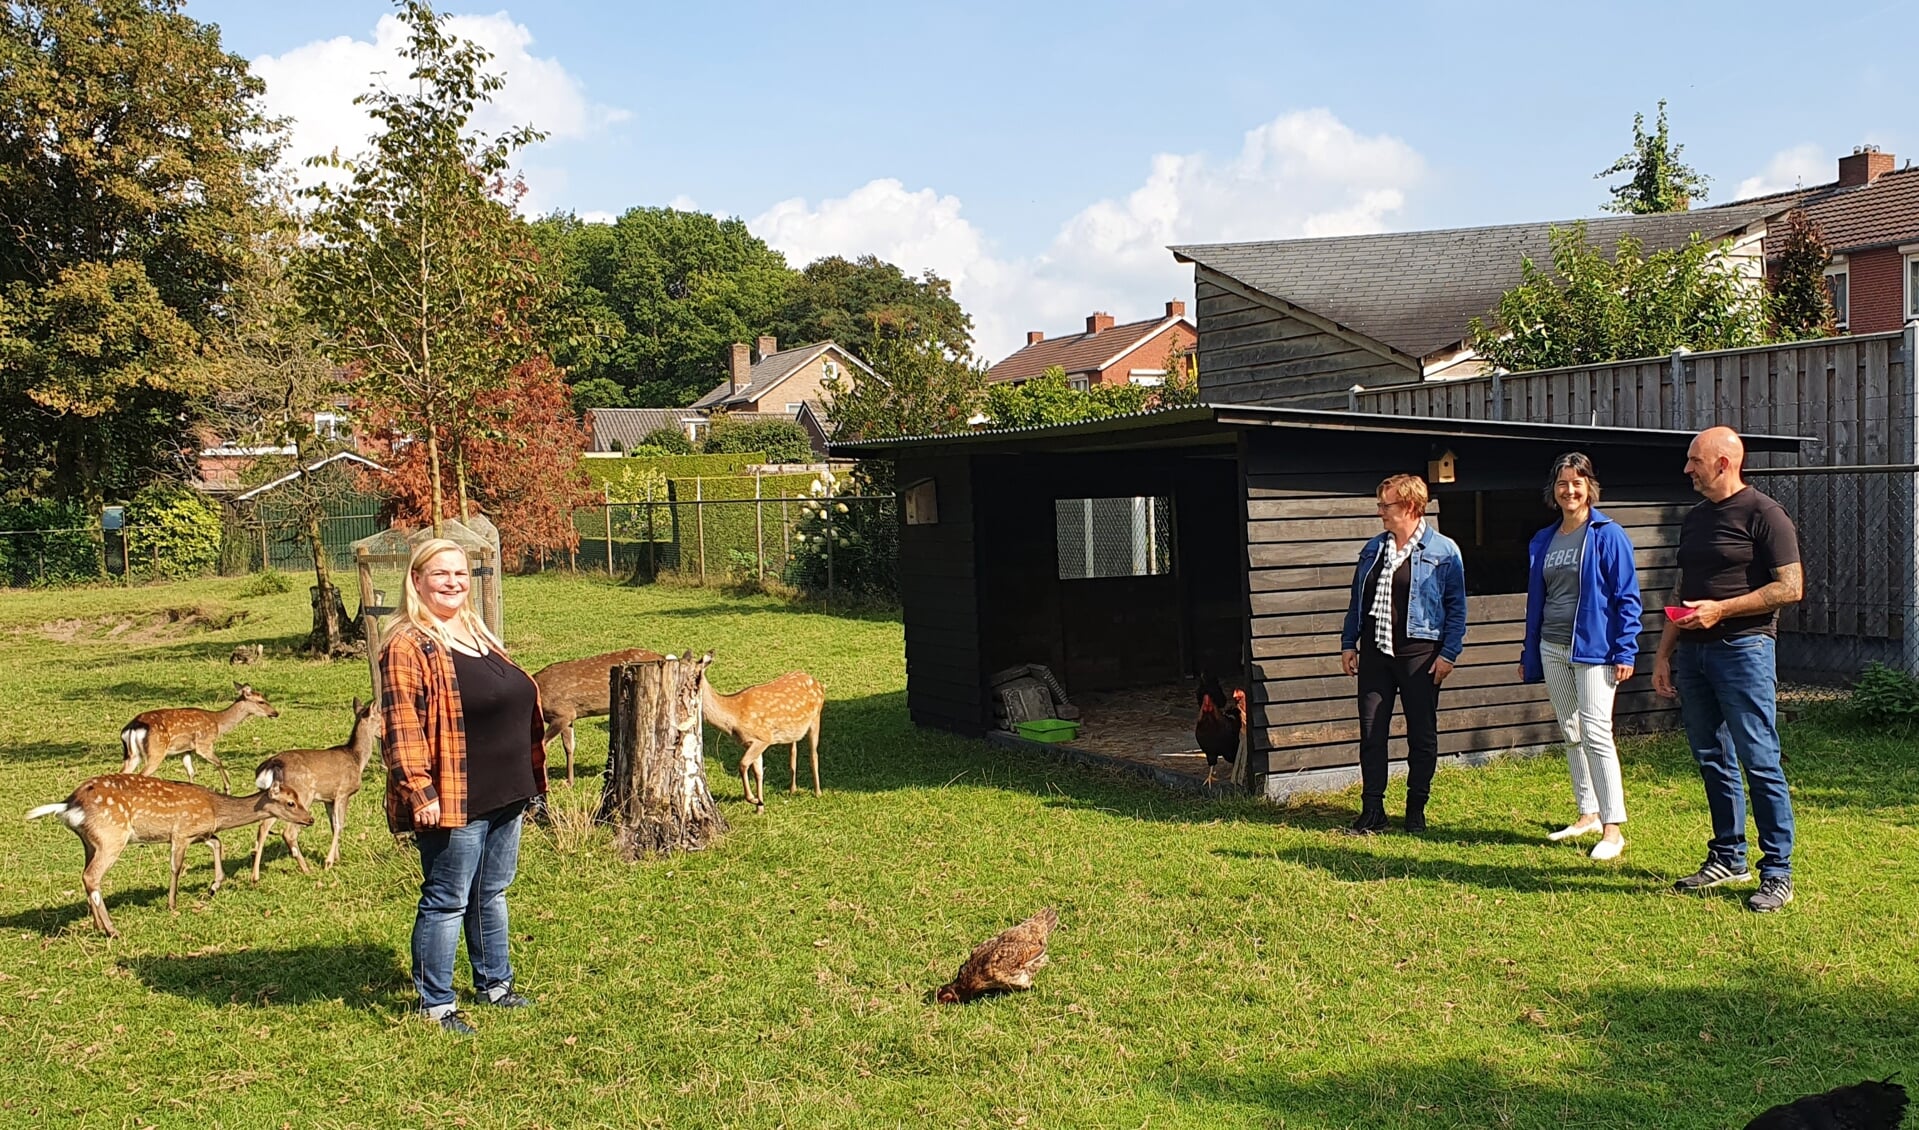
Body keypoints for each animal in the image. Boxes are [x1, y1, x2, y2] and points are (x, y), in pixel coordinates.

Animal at [24, 771, 310, 940]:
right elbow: (176, 866)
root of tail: (68, 805)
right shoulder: (181, 832)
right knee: (92, 876)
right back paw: (112, 929)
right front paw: (173, 905)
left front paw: (213, 887)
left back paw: (97, 925)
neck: (214, 809)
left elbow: (218, 844)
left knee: (85, 876)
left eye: (298, 797)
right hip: (111, 837)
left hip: (89, 842)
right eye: (290, 802)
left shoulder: (200, 833)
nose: (310, 819)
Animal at [118, 679, 280, 794]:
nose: (275, 713)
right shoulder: (204, 744)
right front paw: (227, 788)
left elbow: (191, 771)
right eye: (261, 701)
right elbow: (219, 762)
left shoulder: (186, 749)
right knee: (141, 774)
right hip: (156, 750)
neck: (218, 723)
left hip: (133, 755)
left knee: (123, 773)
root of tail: (132, 727)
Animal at [249, 694, 379, 882]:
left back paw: (255, 876)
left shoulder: (328, 799)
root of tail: (271, 764)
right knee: (288, 832)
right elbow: (339, 824)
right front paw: (329, 862)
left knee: (263, 827)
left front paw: (337, 858)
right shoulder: (343, 792)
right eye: (381, 717)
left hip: (273, 800)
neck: (357, 759)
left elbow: (333, 825)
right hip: (302, 795)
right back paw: (306, 869)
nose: (384, 731)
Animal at [533, 644, 667, 782]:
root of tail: (662, 657)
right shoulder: (569, 717)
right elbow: (569, 747)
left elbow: (544, 745)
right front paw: (570, 782)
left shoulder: (563, 713)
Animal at [702, 659, 829, 809]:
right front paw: (760, 807)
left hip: (816, 717)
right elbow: (758, 773)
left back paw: (818, 792)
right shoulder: (751, 743)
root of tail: (818, 683)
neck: (734, 716)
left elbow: (743, 764)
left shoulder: (764, 737)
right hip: (793, 730)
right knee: (793, 752)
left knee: (813, 754)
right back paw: (792, 789)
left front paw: (752, 799)